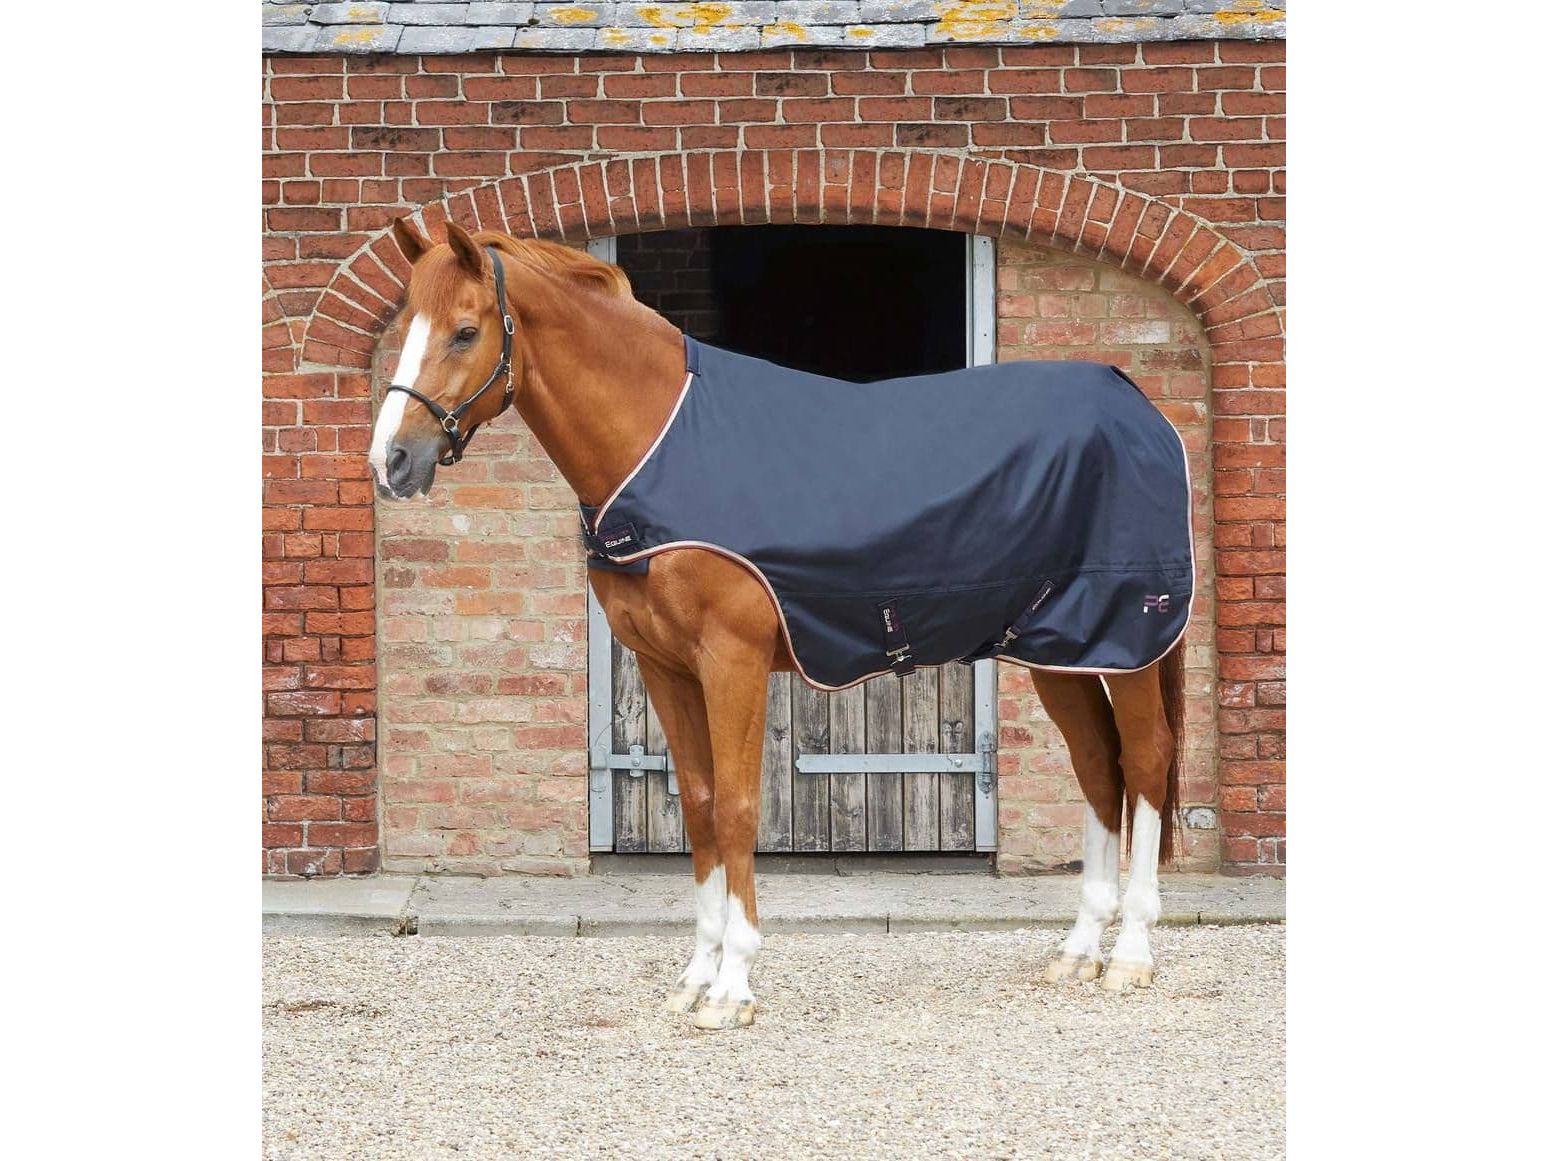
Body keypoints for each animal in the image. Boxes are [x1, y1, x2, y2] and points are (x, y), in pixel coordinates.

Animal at [369, 218, 1188, 1031]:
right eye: (405, 326)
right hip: (1063, 649)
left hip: (1128, 640)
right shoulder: (665, 666)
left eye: (466, 330)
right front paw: (696, 977)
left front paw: (733, 986)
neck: (659, 445)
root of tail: (1138, 407)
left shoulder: (731, 660)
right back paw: (1079, 951)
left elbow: (737, 808)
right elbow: (701, 806)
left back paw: (1131, 955)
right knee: (1098, 766)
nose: (392, 461)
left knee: (1146, 759)